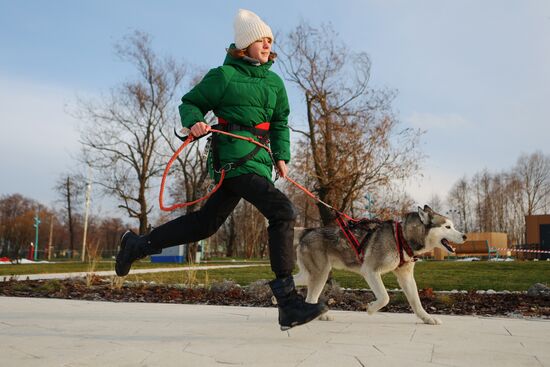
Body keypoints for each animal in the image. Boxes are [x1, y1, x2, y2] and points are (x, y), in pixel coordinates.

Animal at [296, 206, 468, 326]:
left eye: (452, 226)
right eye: (447, 227)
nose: (465, 236)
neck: (402, 237)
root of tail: (307, 231)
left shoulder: (406, 277)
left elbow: (416, 302)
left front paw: (427, 318)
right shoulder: (370, 271)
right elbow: (385, 297)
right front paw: (371, 308)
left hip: (310, 275)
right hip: (320, 274)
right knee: (311, 298)